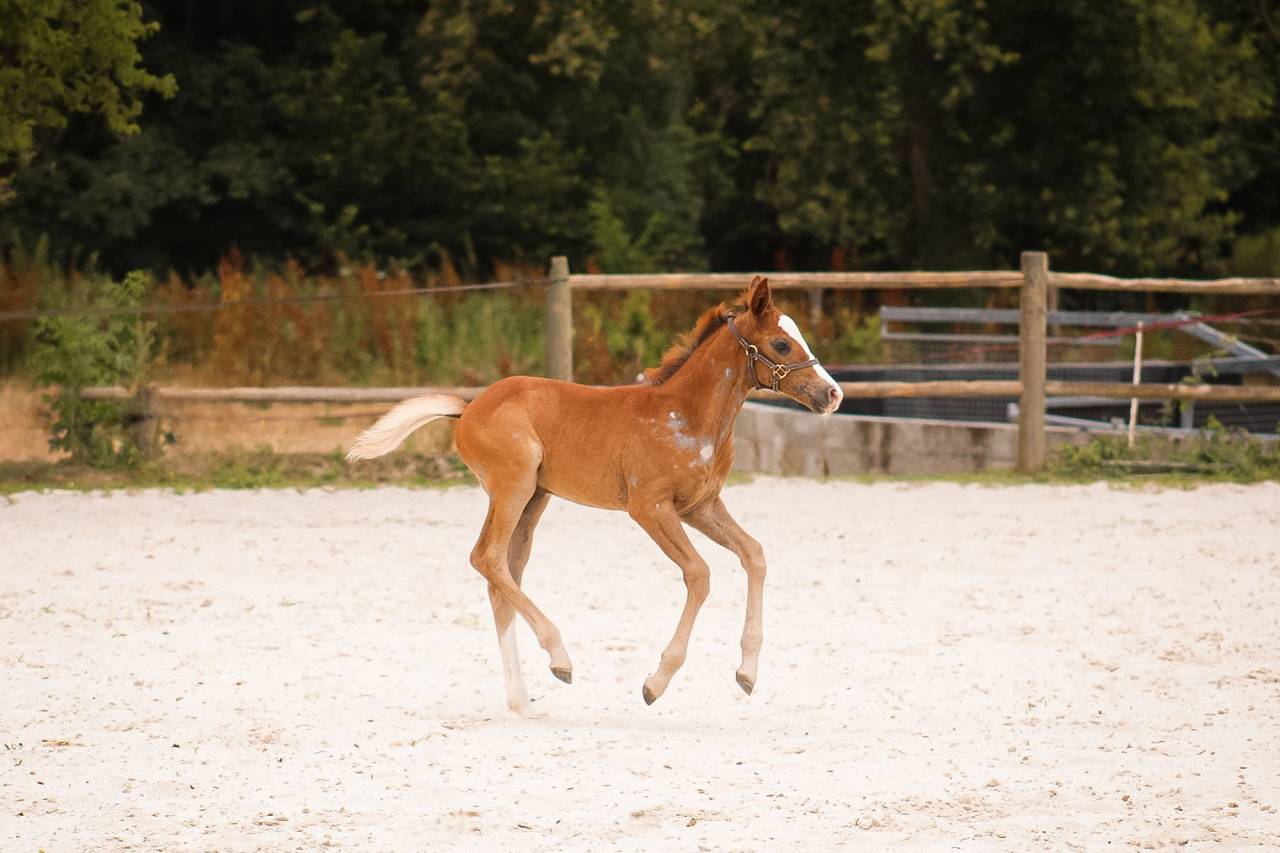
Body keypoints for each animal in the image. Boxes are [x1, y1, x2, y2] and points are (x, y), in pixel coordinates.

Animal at [346, 276, 843, 713]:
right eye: (782, 344)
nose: (832, 395)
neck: (687, 415)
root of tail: (468, 409)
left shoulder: (700, 506)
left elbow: (754, 555)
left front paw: (747, 673)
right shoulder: (650, 508)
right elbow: (699, 574)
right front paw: (656, 682)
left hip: (534, 498)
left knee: (504, 573)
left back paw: (521, 699)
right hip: (513, 487)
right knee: (487, 559)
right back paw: (559, 659)